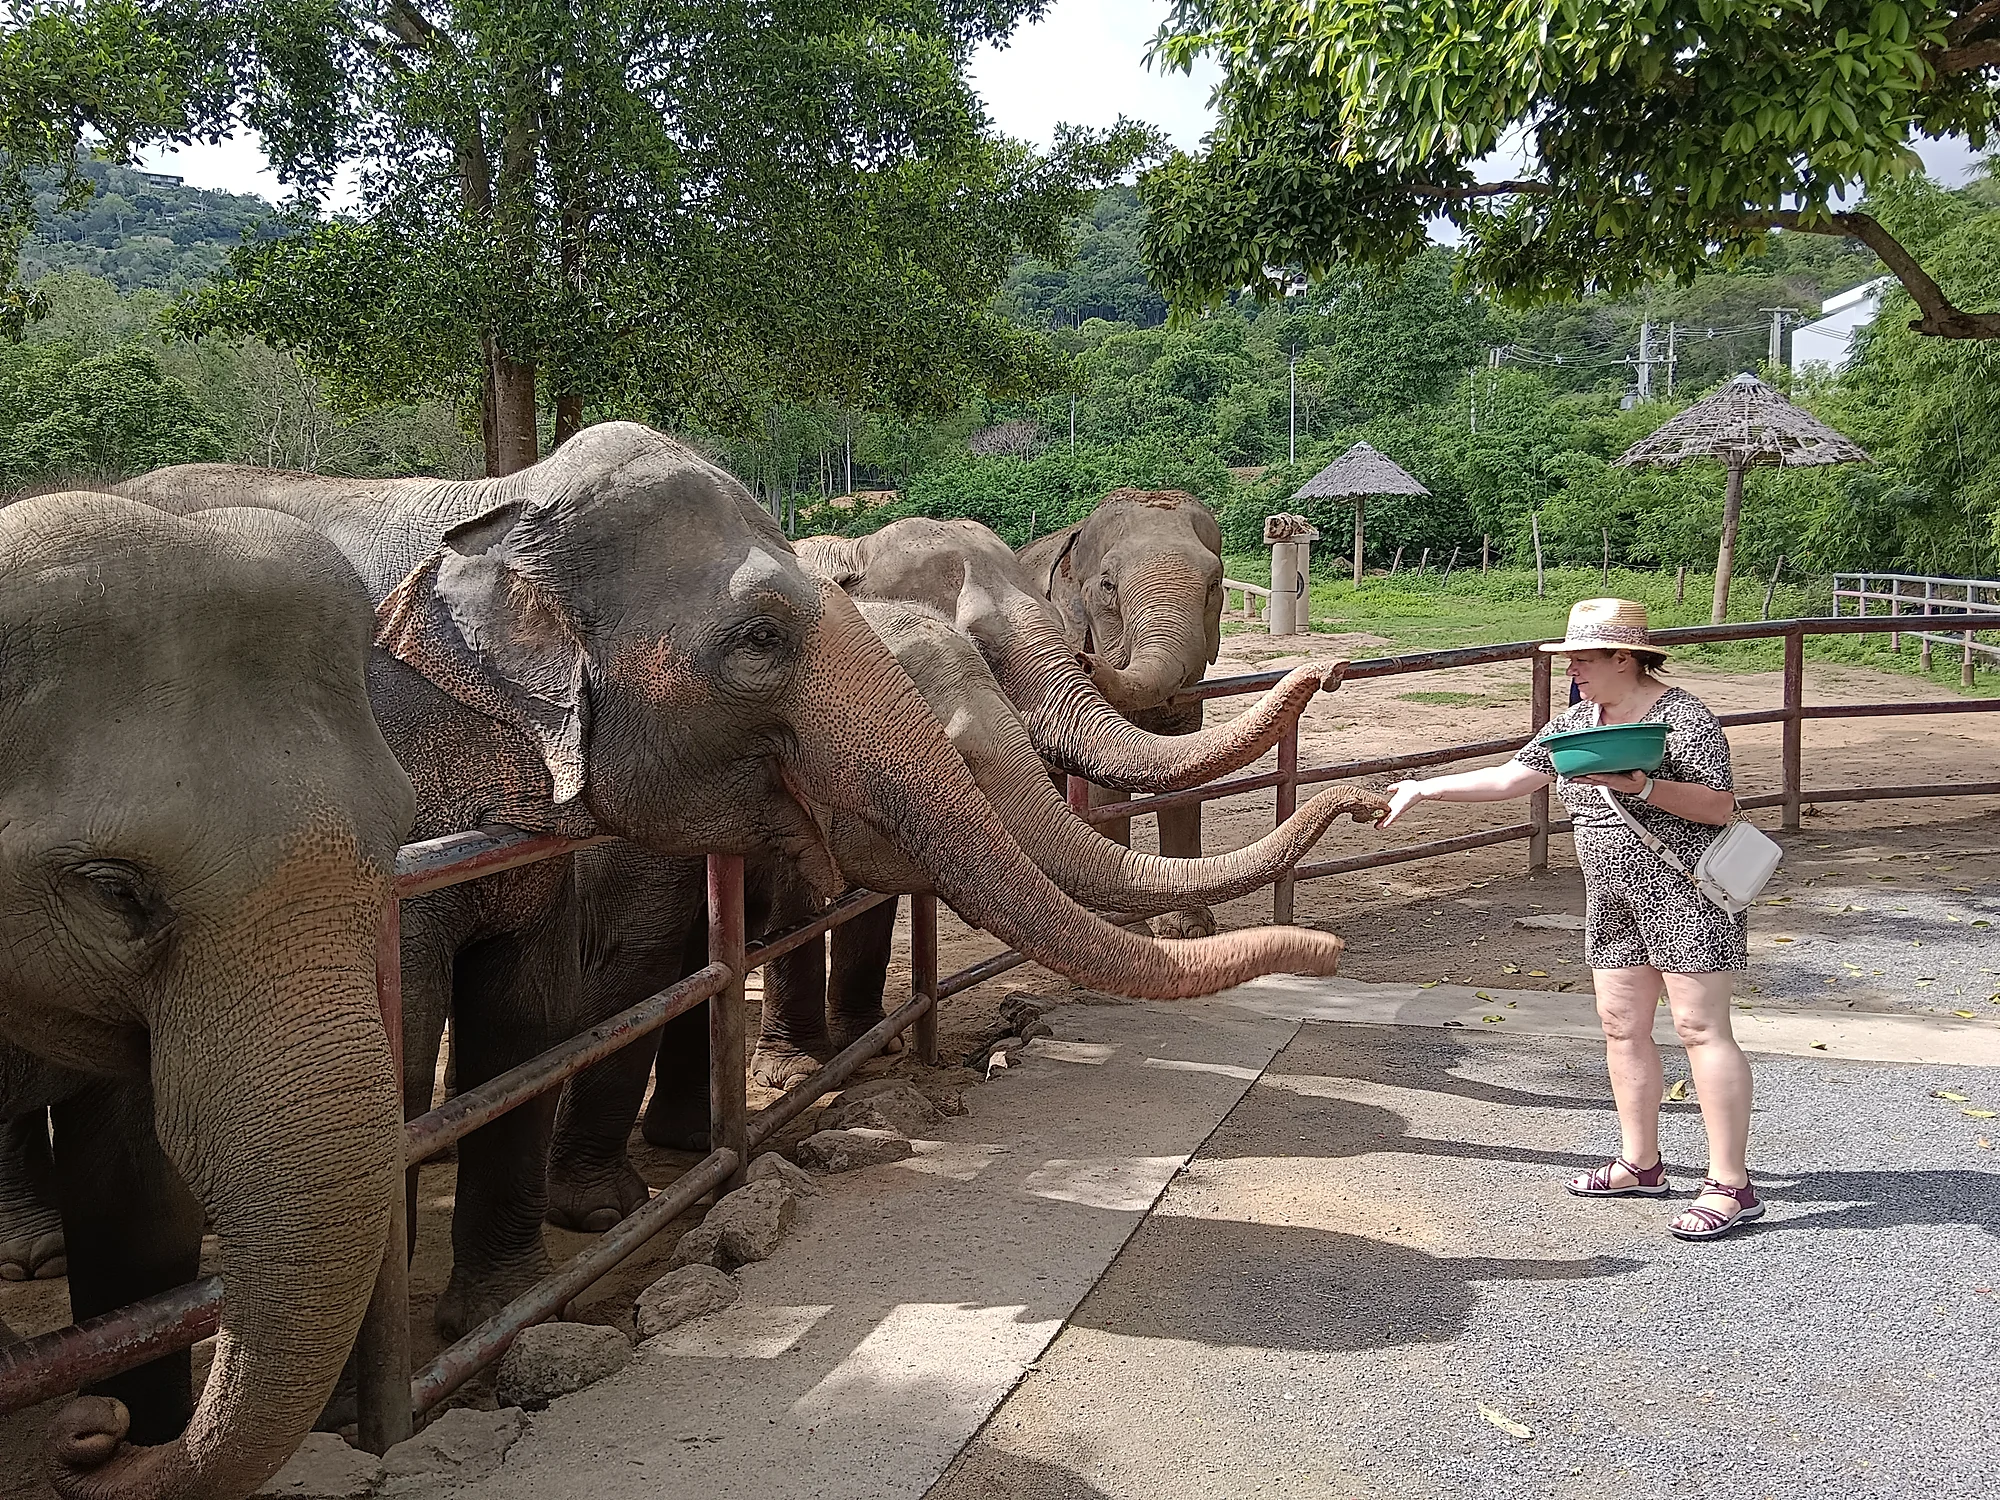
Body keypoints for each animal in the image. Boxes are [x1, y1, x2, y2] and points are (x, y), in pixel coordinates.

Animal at [1018, 488, 1241, 937]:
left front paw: (1193, 930)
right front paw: (1132, 932)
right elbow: (1104, 792)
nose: (1083, 661)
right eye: (1107, 586)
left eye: (1214, 585)